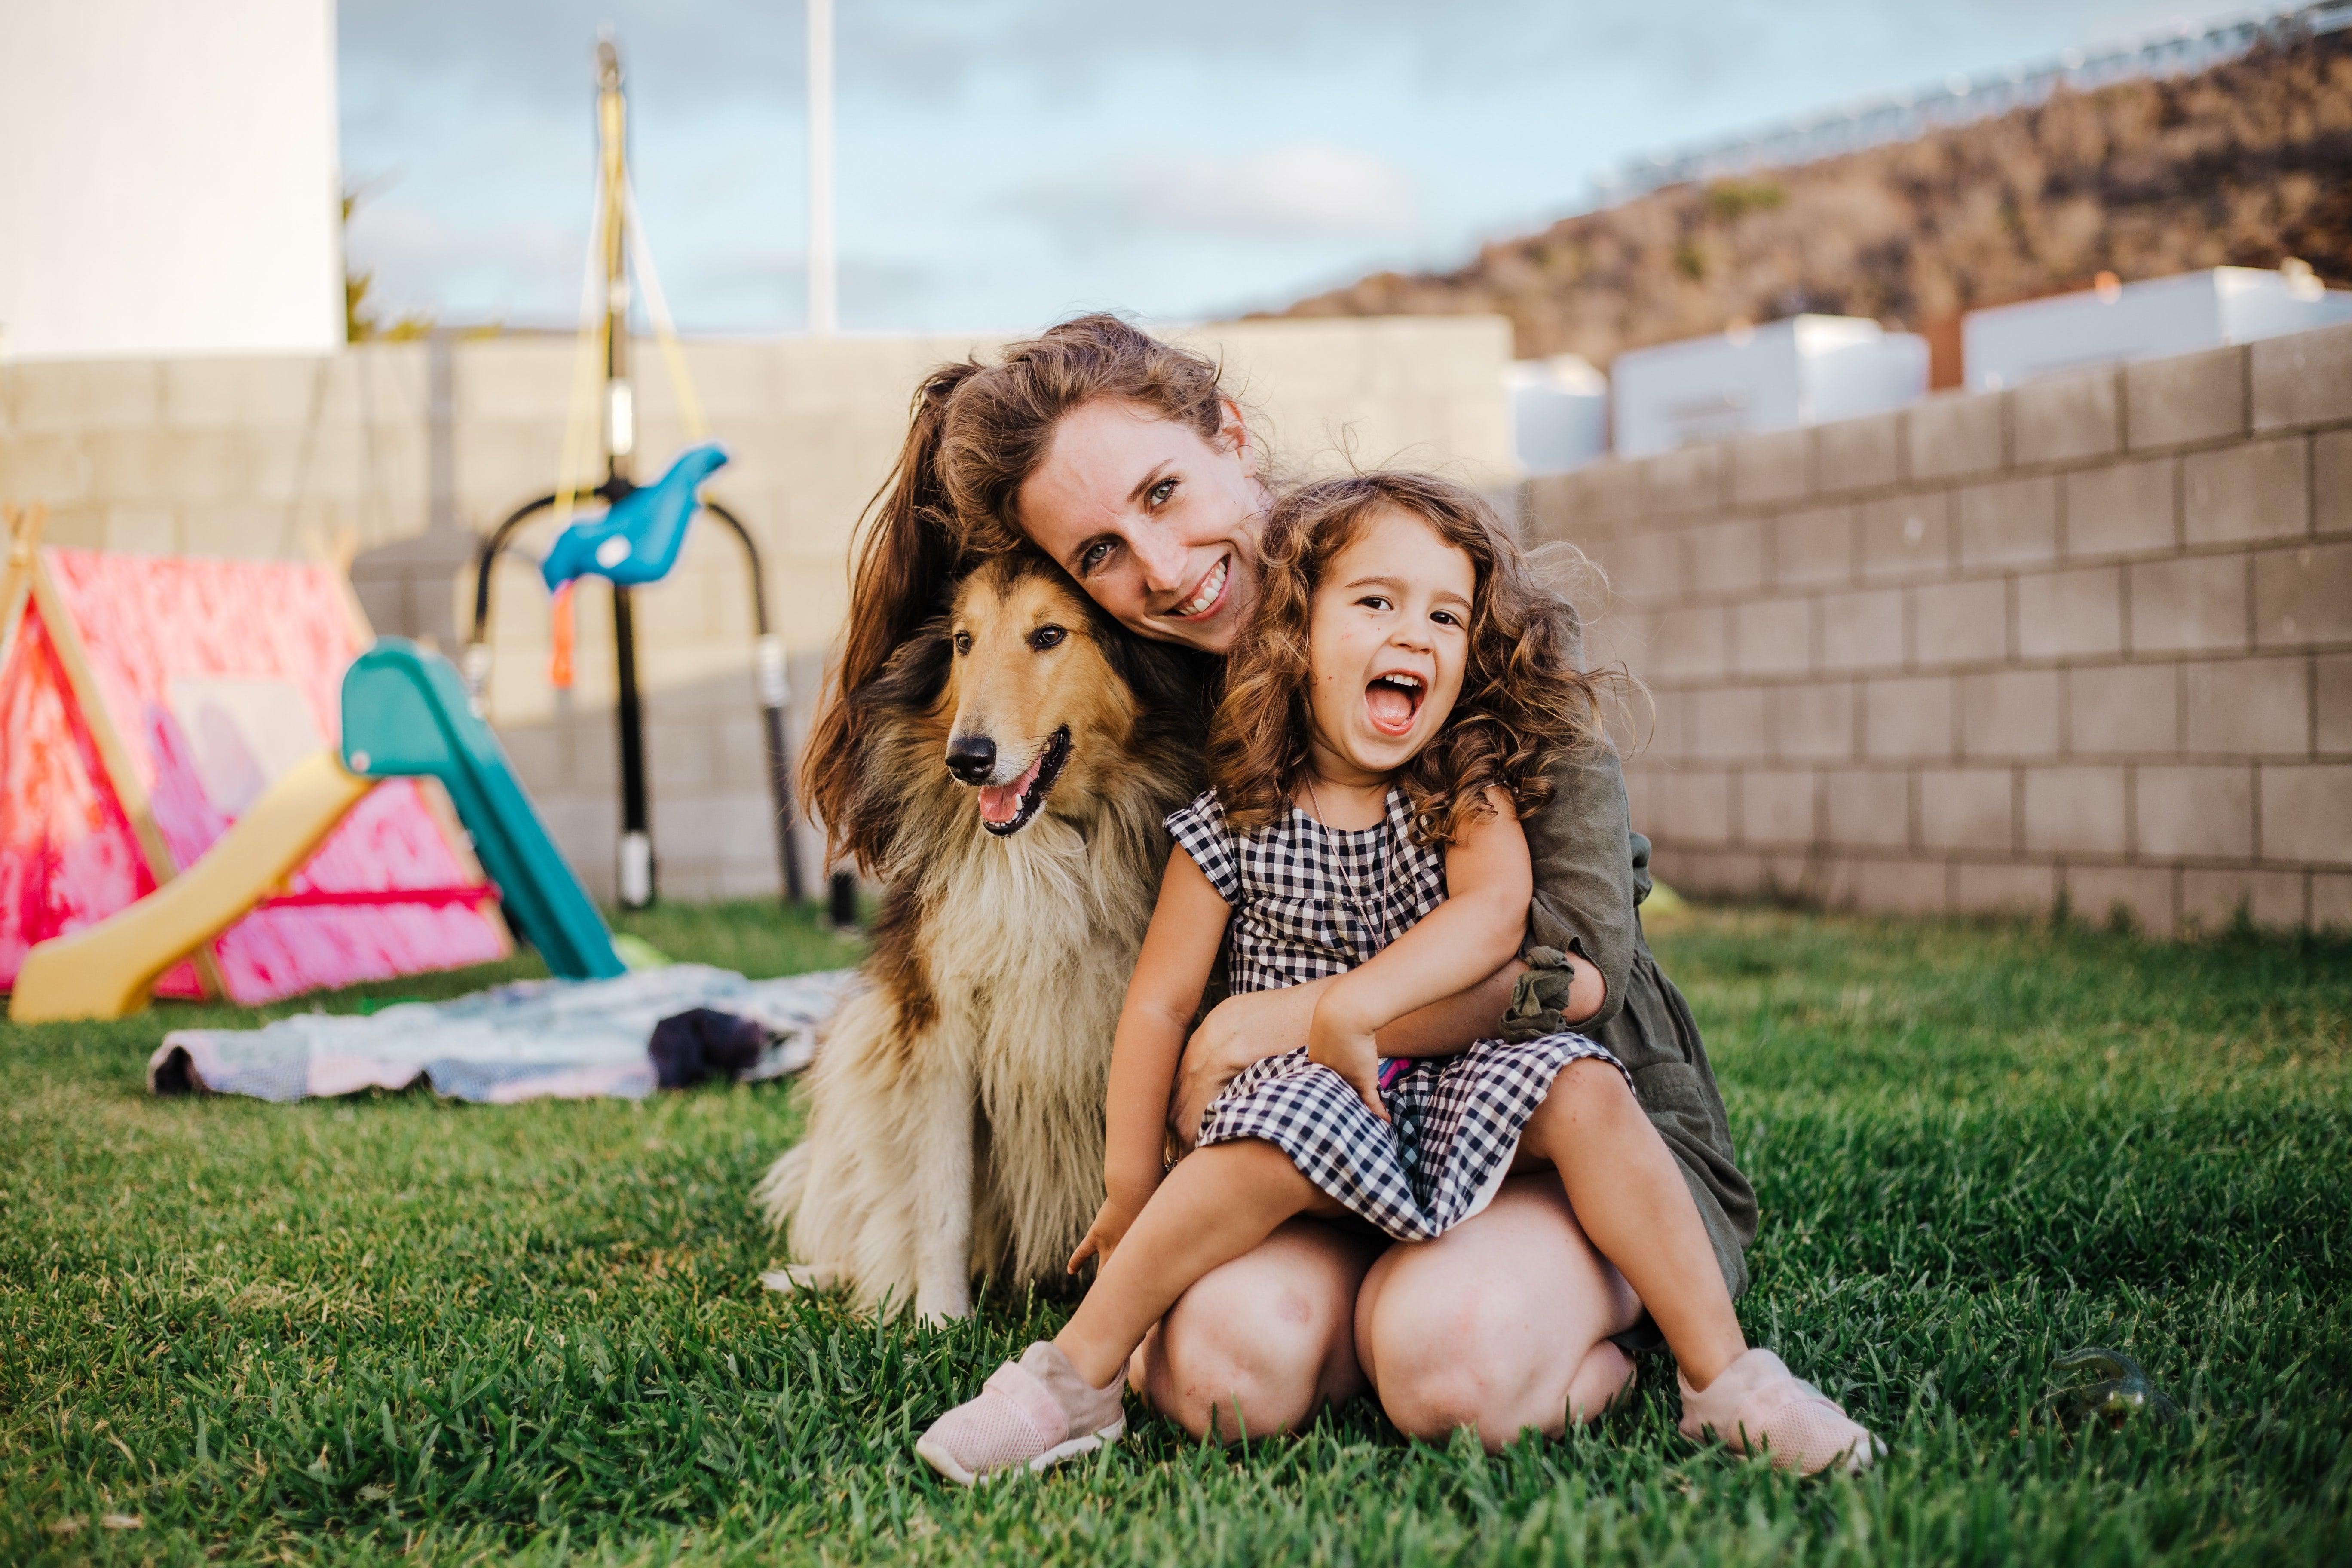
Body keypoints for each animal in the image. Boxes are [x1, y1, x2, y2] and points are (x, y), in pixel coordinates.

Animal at [757, 557, 1204, 1316]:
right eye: (963, 641)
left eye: (1049, 635)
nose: (966, 759)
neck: (1048, 849)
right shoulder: (938, 1027)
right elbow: (942, 1199)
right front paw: (940, 1322)